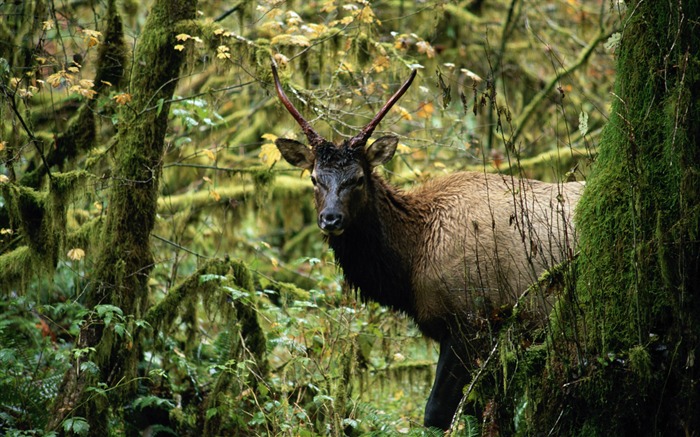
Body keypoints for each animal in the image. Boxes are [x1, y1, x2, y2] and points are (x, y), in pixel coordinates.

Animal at [270, 64, 584, 430]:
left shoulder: (471, 319)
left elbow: (437, 413)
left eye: (358, 178)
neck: (410, 264)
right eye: (314, 179)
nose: (331, 218)